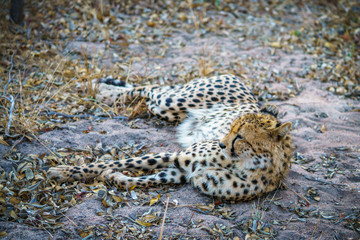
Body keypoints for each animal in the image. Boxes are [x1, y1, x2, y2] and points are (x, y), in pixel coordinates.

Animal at [47, 73, 294, 201]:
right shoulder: (179, 156)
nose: (221, 144)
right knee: (150, 87)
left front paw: (114, 177)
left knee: (150, 97)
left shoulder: (183, 171)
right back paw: (102, 91)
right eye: (230, 129)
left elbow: (144, 179)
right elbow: (114, 163)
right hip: (175, 101)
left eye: (240, 137)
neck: (248, 164)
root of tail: (240, 80)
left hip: (167, 110)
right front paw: (64, 172)